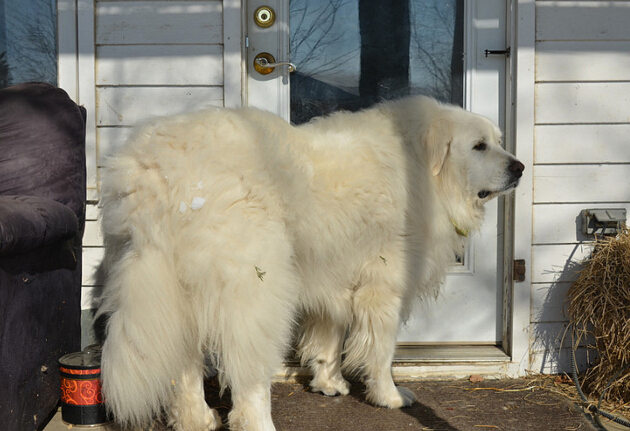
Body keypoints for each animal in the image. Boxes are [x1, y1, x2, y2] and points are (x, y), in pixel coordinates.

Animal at [97, 96, 523, 431]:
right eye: (479, 146)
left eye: (499, 142)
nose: (519, 167)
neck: (422, 167)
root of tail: (156, 172)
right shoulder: (384, 286)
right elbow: (381, 352)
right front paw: (388, 397)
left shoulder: (335, 275)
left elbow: (329, 336)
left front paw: (328, 383)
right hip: (256, 287)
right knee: (248, 371)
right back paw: (257, 422)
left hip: (173, 290)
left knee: (184, 364)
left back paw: (196, 420)